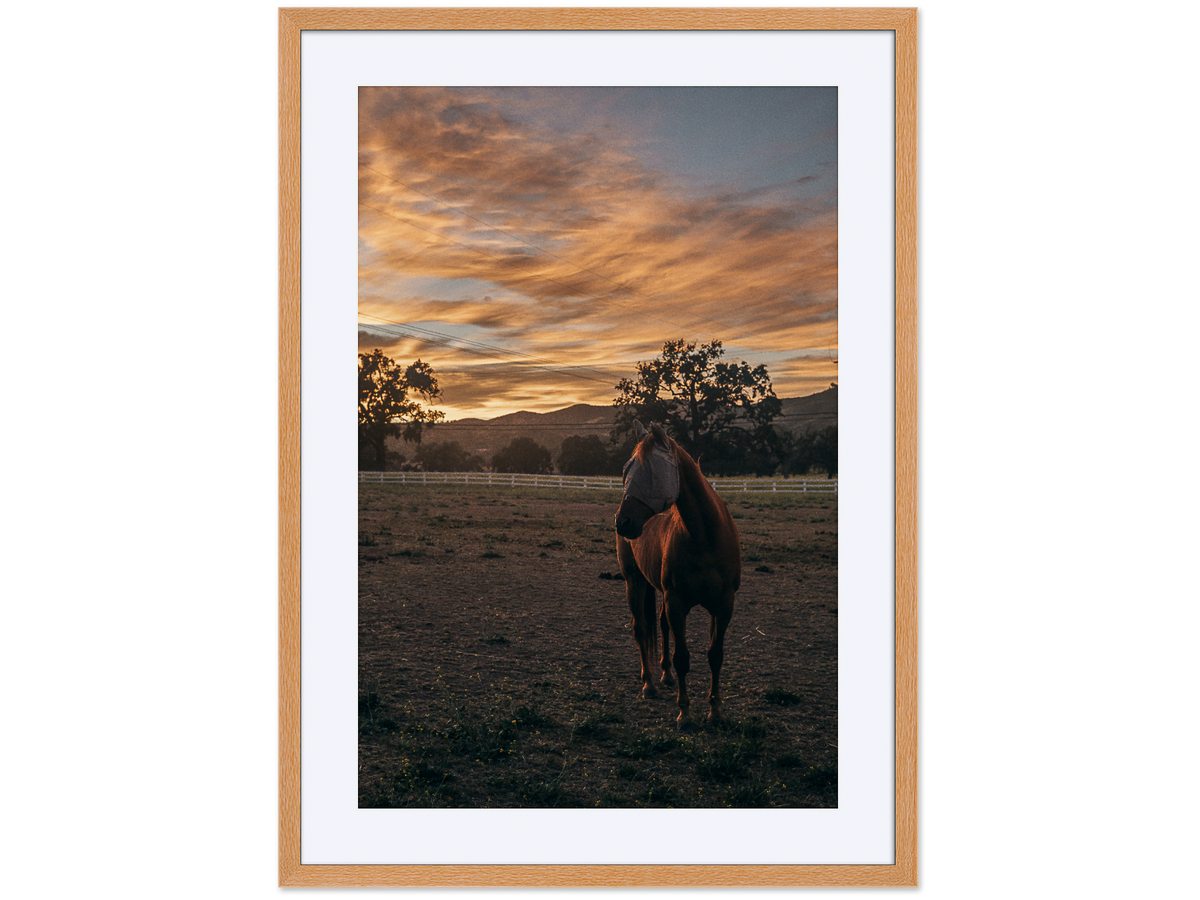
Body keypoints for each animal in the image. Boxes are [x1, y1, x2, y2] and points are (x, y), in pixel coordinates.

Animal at [614, 421, 741, 730]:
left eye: (651, 472)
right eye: (625, 470)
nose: (622, 521)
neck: (704, 537)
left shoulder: (723, 605)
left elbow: (715, 655)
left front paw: (715, 711)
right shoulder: (678, 602)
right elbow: (682, 657)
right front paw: (685, 713)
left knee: (661, 625)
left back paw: (666, 676)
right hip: (634, 582)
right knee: (640, 628)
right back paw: (649, 684)